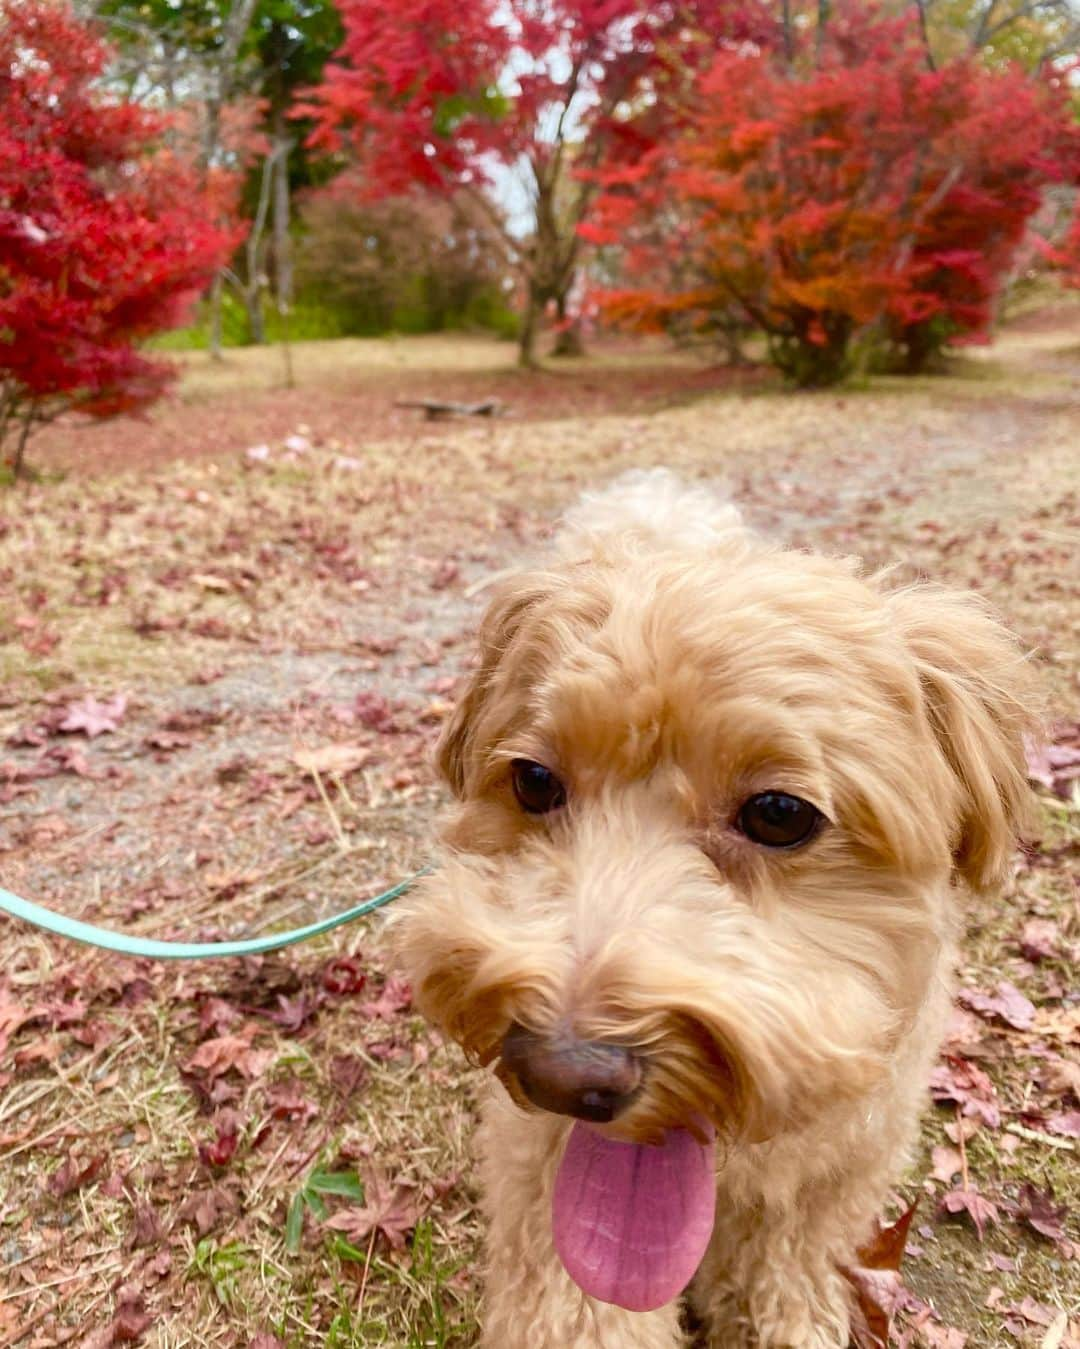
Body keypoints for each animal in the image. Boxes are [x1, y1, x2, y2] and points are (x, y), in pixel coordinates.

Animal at [391, 469, 1030, 1343]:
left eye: (780, 814)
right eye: (533, 780)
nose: (561, 1075)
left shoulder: (834, 1167)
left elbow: (788, 1257)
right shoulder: (540, 1167)